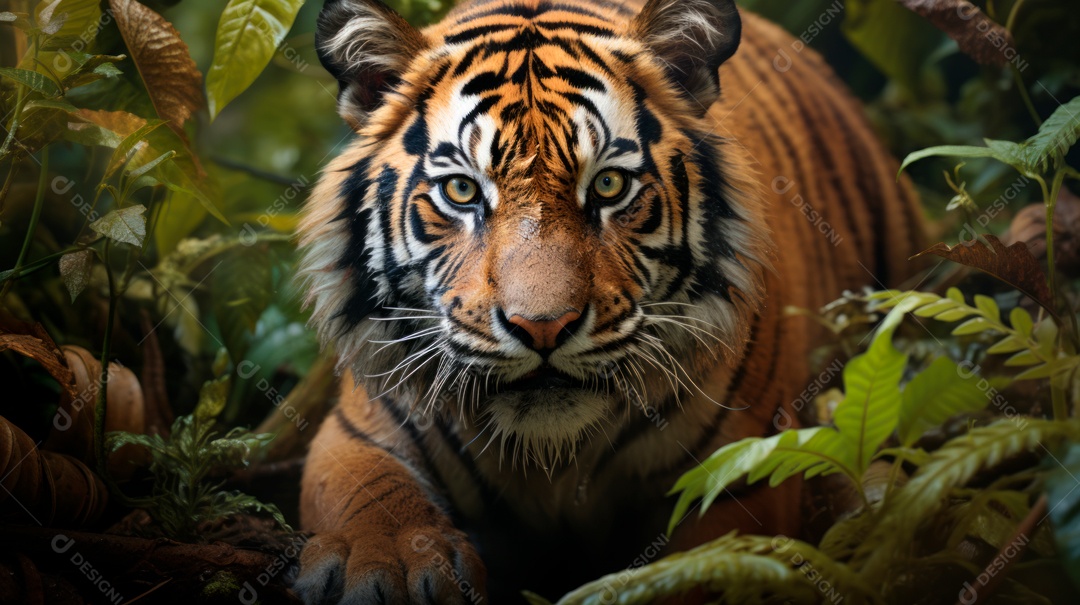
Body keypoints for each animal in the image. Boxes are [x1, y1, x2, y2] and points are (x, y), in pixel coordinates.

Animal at [292, 0, 923, 602]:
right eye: (463, 190)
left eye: (609, 186)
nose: (543, 328)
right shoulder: (358, 430)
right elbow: (366, 492)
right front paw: (387, 565)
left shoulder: (741, 472)